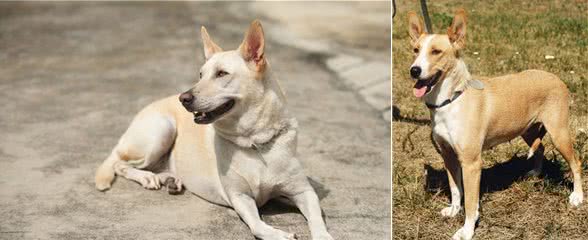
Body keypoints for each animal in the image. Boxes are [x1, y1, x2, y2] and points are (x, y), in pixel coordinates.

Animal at [97, 20, 336, 240]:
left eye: (222, 73)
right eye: (200, 74)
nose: (183, 98)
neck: (255, 142)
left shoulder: (303, 191)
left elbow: (316, 217)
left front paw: (323, 235)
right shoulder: (240, 197)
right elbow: (257, 225)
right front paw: (277, 234)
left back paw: (170, 179)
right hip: (161, 131)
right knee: (120, 164)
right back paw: (147, 177)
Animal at [408, 9, 584, 240]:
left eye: (436, 51)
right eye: (415, 50)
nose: (414, 70)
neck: (451, 100)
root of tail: (556, 77)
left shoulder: (471, 163)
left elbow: (471, 202)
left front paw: (467, 230)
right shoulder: (448, 155)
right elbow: (455, 189)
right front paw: (454, 210)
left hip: (559, 133)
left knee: (576, 162)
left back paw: (577, 196)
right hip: (526, 129)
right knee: (540, 147)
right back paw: (534, 173)